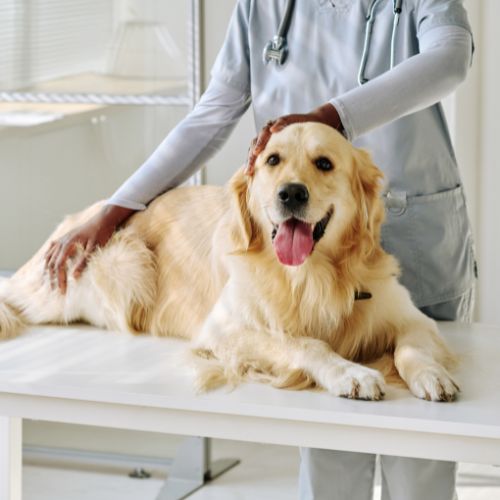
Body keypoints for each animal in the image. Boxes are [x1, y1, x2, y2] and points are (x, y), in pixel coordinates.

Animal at [0, 123, 458, 400]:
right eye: (272, 160)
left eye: (324, 163)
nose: (291, 193)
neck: (311, 275)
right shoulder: (223, 330)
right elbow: (304, 342)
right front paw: (351, 373)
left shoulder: (412, 319)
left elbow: (412, 346)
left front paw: (432, 374)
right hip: (121, 264)